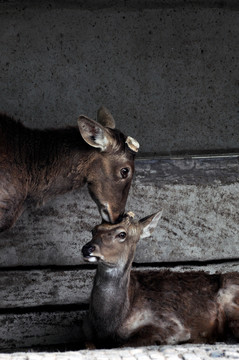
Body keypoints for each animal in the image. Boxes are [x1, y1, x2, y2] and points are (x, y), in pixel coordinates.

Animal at [81, 211, 239, 348]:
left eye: (122, 234)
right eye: (93, 230)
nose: (87, 248)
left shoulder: (172, 324)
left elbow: (128, 342)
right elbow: (88, 344)